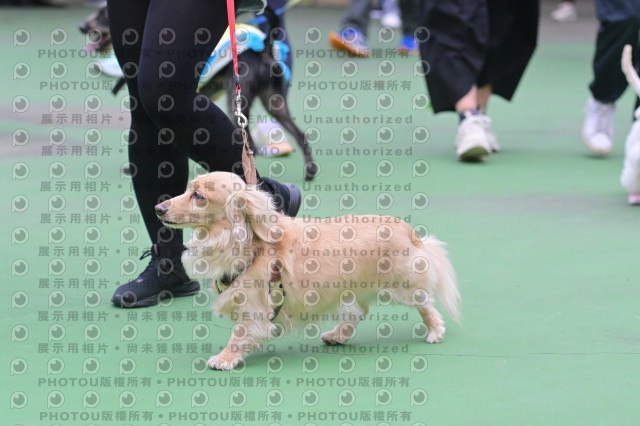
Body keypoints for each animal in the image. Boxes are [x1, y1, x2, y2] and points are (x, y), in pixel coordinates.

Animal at [155, 172, 461, 370]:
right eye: (187, 190)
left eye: (198, 196)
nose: (158, 208)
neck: (245, 242)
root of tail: (408, 230)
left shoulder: (254, 307)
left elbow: (239, 335)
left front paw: (225, 358)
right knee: (357, 313)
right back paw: (337, 335)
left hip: (403, 286)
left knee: (426, 304)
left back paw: (435, 331)